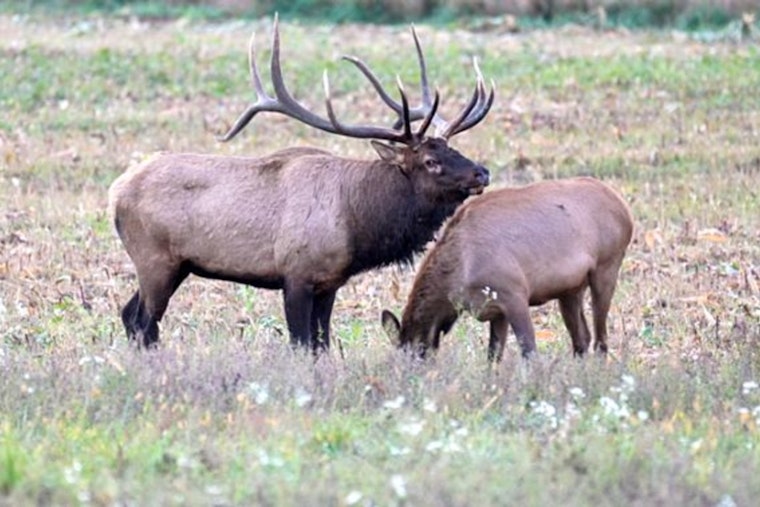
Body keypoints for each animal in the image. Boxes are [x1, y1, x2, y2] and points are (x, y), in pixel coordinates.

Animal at [108, 16, 494, 352]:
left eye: (453, 149)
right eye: (430, 162)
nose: (482, 172)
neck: (356, 223)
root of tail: (115, 191)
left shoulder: (329, 283)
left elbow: (321, 345)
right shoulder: (295, 274)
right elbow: (301, 343)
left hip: (177, 265)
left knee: (130, 315)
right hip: (154, 258)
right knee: (144, 321)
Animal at [381, 177, 633, 361]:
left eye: (415, 355)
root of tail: (623, 206)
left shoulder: (514, 294)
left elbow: (529, 352)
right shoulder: (496, 311)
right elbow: (493, 357)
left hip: (607, 267)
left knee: (601, 339)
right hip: (570, 289)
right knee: (582, 338)